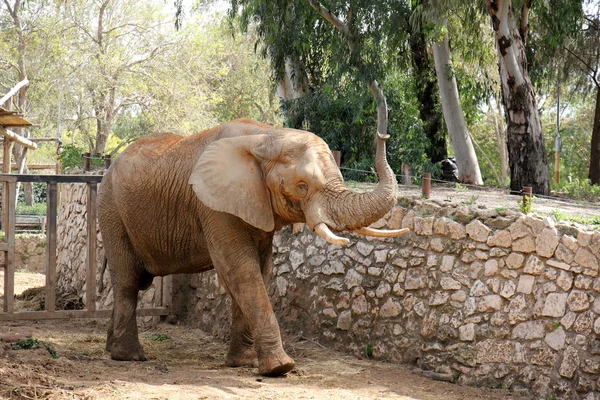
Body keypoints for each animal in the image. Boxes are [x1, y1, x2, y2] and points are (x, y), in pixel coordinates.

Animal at [98, 118, 408, 376]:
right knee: (129, 281)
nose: (384, 134)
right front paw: (280, 368)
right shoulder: (213, 206)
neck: (266, 136)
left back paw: (111, 348)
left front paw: (243, 363)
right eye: (302, 186)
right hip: (112, 211)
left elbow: (260, 270)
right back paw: (129, 357)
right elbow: (240, 271)